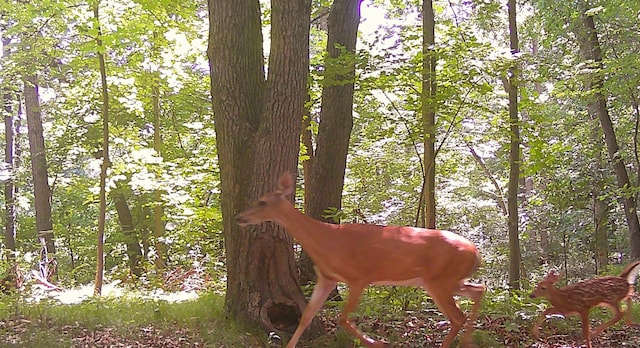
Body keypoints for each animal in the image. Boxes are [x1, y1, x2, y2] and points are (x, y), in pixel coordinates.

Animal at [235, 172, 484, 348]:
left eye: (262, 202)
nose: (239, 217)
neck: (327, 240)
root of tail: (476, 252)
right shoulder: (327, 278)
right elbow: (306, 315)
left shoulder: (359, 276)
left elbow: (343, 318)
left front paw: (378, 342)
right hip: (448, 280)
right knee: (478, 291)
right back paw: (468, 340)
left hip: (439, 280)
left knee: (458, 316)